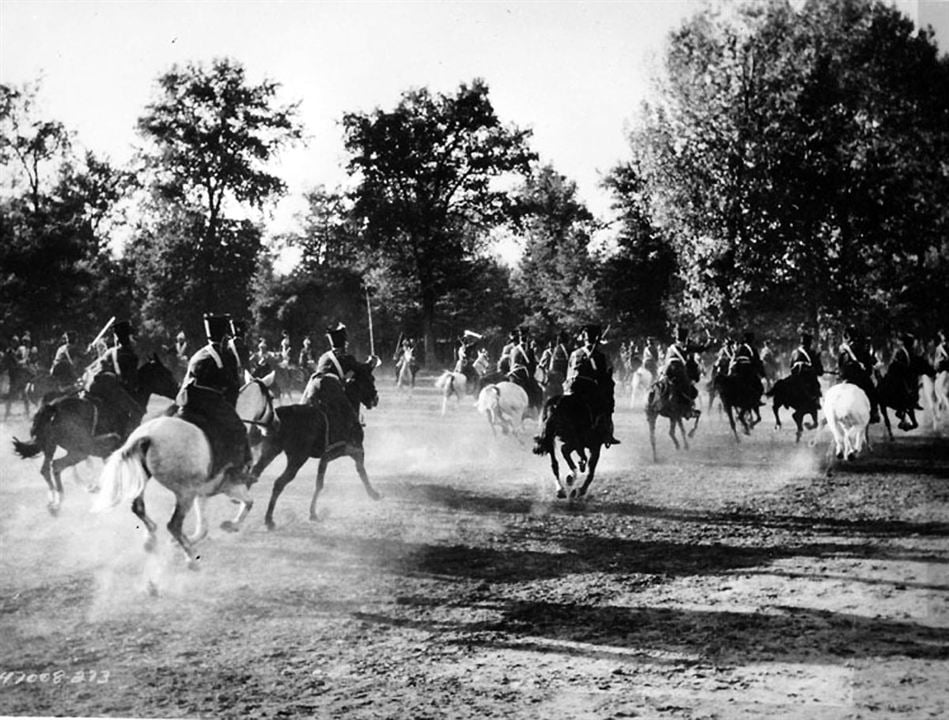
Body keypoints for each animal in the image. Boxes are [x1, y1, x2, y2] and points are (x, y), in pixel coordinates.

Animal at [12, 356, 180, 516]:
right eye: (165, 374)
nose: (178, 391)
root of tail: (52, 407)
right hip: (78, 450)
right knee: (56, 466)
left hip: (54, 447)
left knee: (49, 468)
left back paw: (56, 503)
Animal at [90, 376, 274, 568]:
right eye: (272, 397)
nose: (273, 425)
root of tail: (148, 436)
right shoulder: (230, 486)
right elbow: (248, 503)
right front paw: (231, 525)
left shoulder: (202, 494)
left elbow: (203, 528)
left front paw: (182, 541)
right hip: (185, 493)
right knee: (173, 525)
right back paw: (191, 558)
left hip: (146, 480)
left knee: (138, 508)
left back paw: (151, 539)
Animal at [250, 360, 380, 528]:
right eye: (371, 378)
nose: (375, 398)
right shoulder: (352, 449)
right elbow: (361, 470)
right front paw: (373, 493)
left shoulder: (325, 458)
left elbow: (319, 483)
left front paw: (313, 512)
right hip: (297, 458)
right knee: (279, 482)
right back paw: (268, 519)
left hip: (270, 452)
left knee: (254, 474)